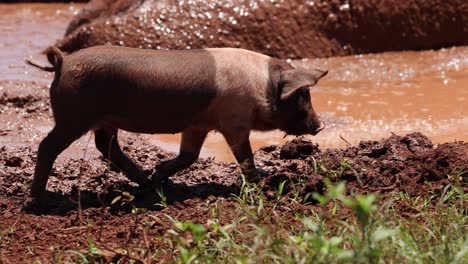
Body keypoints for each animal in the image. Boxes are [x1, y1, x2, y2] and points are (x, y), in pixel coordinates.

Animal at [24, 45, 326, 199]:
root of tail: (63, 62)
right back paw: (38, 196)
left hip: (101, 120)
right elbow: (245, 157)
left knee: (107, 146)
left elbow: (188, 156)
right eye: (304, 94)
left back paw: (146, 183)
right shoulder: (234, 122)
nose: (320, 125)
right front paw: (258, 185)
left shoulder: (197, 125)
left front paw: (159, 175)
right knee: (48, 146)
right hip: (73, 117)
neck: (264, 87)